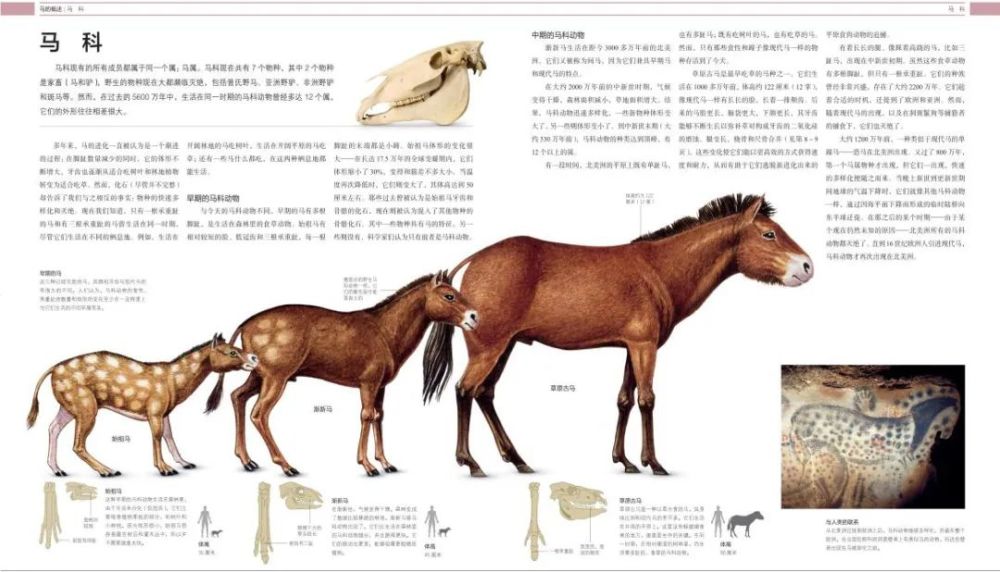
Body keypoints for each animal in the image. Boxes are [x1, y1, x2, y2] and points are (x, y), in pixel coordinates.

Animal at [27, 334, 258, 477]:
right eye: (231, 352)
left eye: (236, 347)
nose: (254, 357)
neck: (174, 382)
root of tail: (52, 370)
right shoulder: (154, 410)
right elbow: (157, 436)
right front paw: (165, 469)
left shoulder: (165, 412)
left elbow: (169, 436)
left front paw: (185, 463)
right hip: (85, 405)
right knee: (77, 444)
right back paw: (108, 470)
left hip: (69, 405)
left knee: (53, 427)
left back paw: (58, 470)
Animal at [204, 271, 478, 477]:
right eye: (449, 295)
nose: (474, 316)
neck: (384, 329)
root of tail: (246, 324)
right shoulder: (368, 384)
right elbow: (366, 416)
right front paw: (368, 465)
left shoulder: (380, 386)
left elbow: (379, 416)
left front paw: (385, 462)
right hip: (275, 378)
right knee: (259, 414)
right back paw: (286, 465)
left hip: (258, 376)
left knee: (238, 396)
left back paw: (247, 460)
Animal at [422, 194, 813, 476]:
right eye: (769, 233)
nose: (807, 266)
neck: (659, 269)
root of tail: (470, 263)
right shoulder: (645, 347)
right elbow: (647, 399)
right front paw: (654, 463)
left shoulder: (630, 346)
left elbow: (624, 399)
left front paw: (625, 461)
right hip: (489, 347)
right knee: (464, 390)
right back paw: (471, 463)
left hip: (506, 346)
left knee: (484, 394)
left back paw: (518, 460)